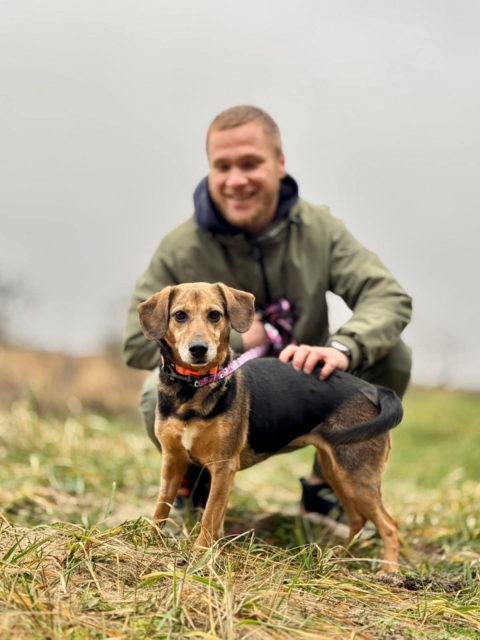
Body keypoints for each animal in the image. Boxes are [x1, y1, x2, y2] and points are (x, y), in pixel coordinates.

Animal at [138, 282, 403, 572]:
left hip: (357, 475)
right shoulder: (173, 460)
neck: (193, 387)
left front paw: (200, 556)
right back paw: (338, 558)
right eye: (180, 315)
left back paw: (388, 571)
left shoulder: (224, 466)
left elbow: (209, 518)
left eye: (215, 315)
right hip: (337, 471)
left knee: (389, 525)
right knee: (358, 519)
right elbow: (161, 507)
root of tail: (374, 391)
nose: (199, 349)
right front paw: (148, 541)